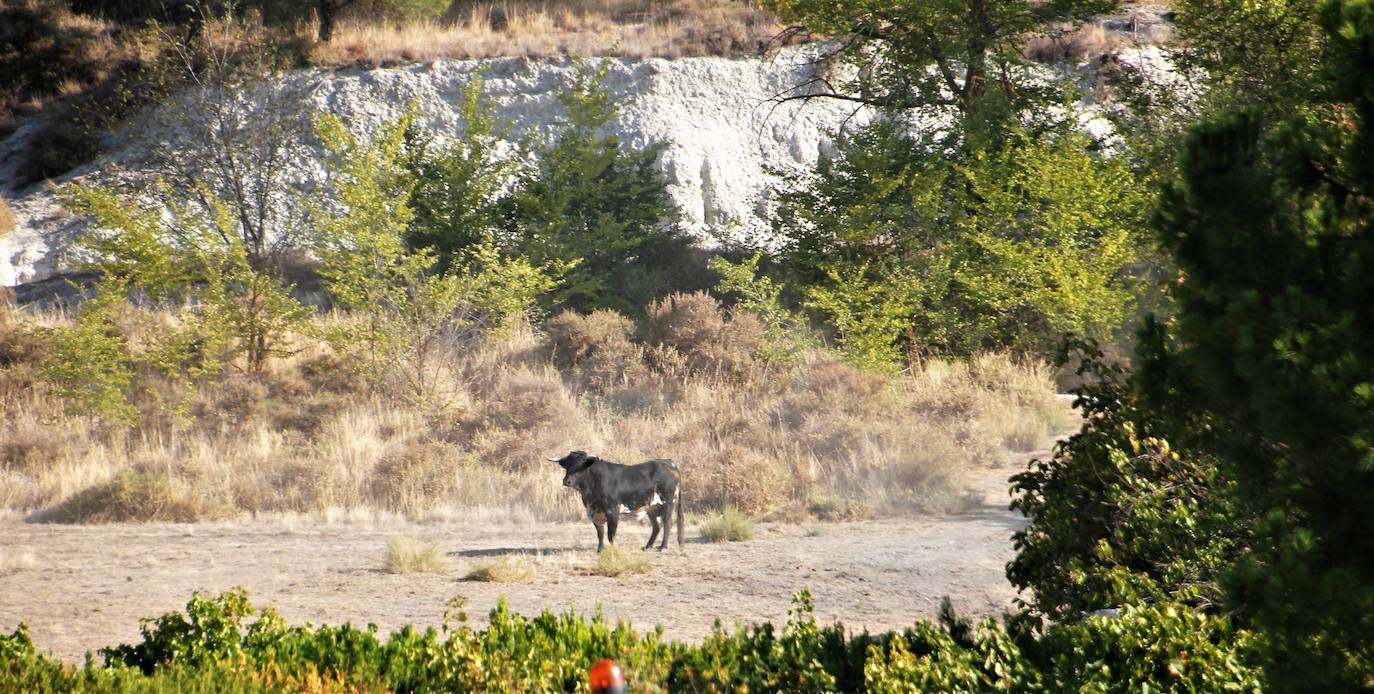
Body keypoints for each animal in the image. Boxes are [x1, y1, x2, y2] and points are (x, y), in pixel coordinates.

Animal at [549, 450, 684, 549]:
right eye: (567, 465)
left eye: (581, 466)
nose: (566, 481)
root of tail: (668, 462)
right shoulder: (594, 513)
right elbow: (600, 533)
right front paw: (600, 550)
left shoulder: (613, 512)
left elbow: (611, 534)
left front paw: (614, 549)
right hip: (651, 507)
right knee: (657, 527)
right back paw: (647, 546)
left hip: (668, 503)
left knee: (667, 524)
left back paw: (663, 547)